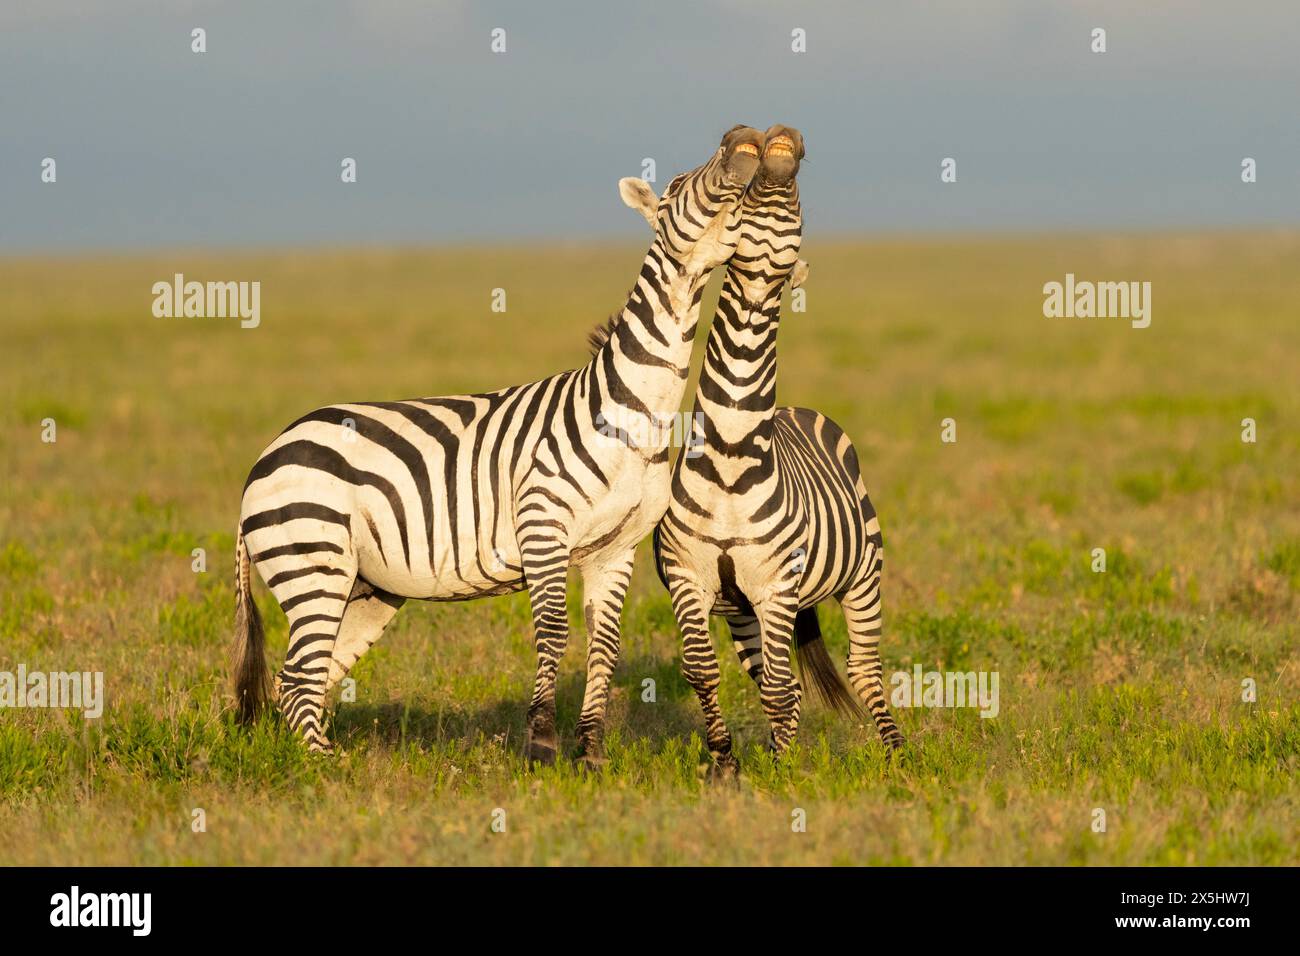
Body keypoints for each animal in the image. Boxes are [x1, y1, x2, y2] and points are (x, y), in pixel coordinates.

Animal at [231, 125, 769, 764]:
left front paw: (591, 752)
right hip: (312, 560)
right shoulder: (543, 526)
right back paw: (322, 768)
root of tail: (269, 451)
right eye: (684, 185)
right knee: (299, 675)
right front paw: (540, 743)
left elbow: (605, 645)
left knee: (306, 679)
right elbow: (554, 633)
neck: (631, 412)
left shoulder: (616, 549)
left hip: (365, 585)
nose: (741, 136)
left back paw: (322, 759)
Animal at [650, 125, 904, 780]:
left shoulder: (776, 586)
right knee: (768, 672)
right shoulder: (693, 580)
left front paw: (780, 771)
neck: (732, 454)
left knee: (864, 671)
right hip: (743, 609)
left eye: (800, 211)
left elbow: (783, 689)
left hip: (863, 576)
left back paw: (897, 754)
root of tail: (796, 410)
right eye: (741, 205)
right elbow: (704, 673)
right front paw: (725, 765)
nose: (774, 138)